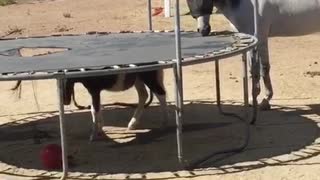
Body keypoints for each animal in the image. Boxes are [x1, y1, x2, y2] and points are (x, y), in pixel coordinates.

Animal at [186, 0, 320, 110]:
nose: (203, 30)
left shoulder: (258, 39)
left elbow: (258, 69)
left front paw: (260, 99)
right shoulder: (255, 40)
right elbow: (258, 69)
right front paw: (260, 99)